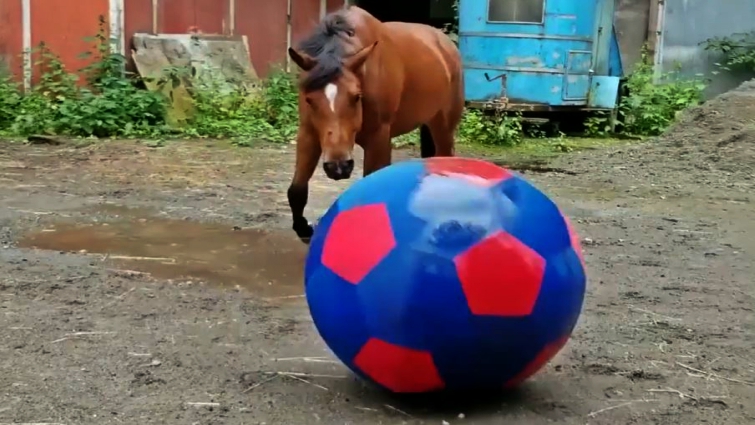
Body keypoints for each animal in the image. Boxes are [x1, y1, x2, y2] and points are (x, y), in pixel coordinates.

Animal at [286, 6, 464, 243]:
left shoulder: (378, 139)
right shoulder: (309, 133)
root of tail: (444, 42)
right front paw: (304, 229)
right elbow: (297, 190)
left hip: (442, 126)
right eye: (309, 100)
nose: (338, 166)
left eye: (356, 97)